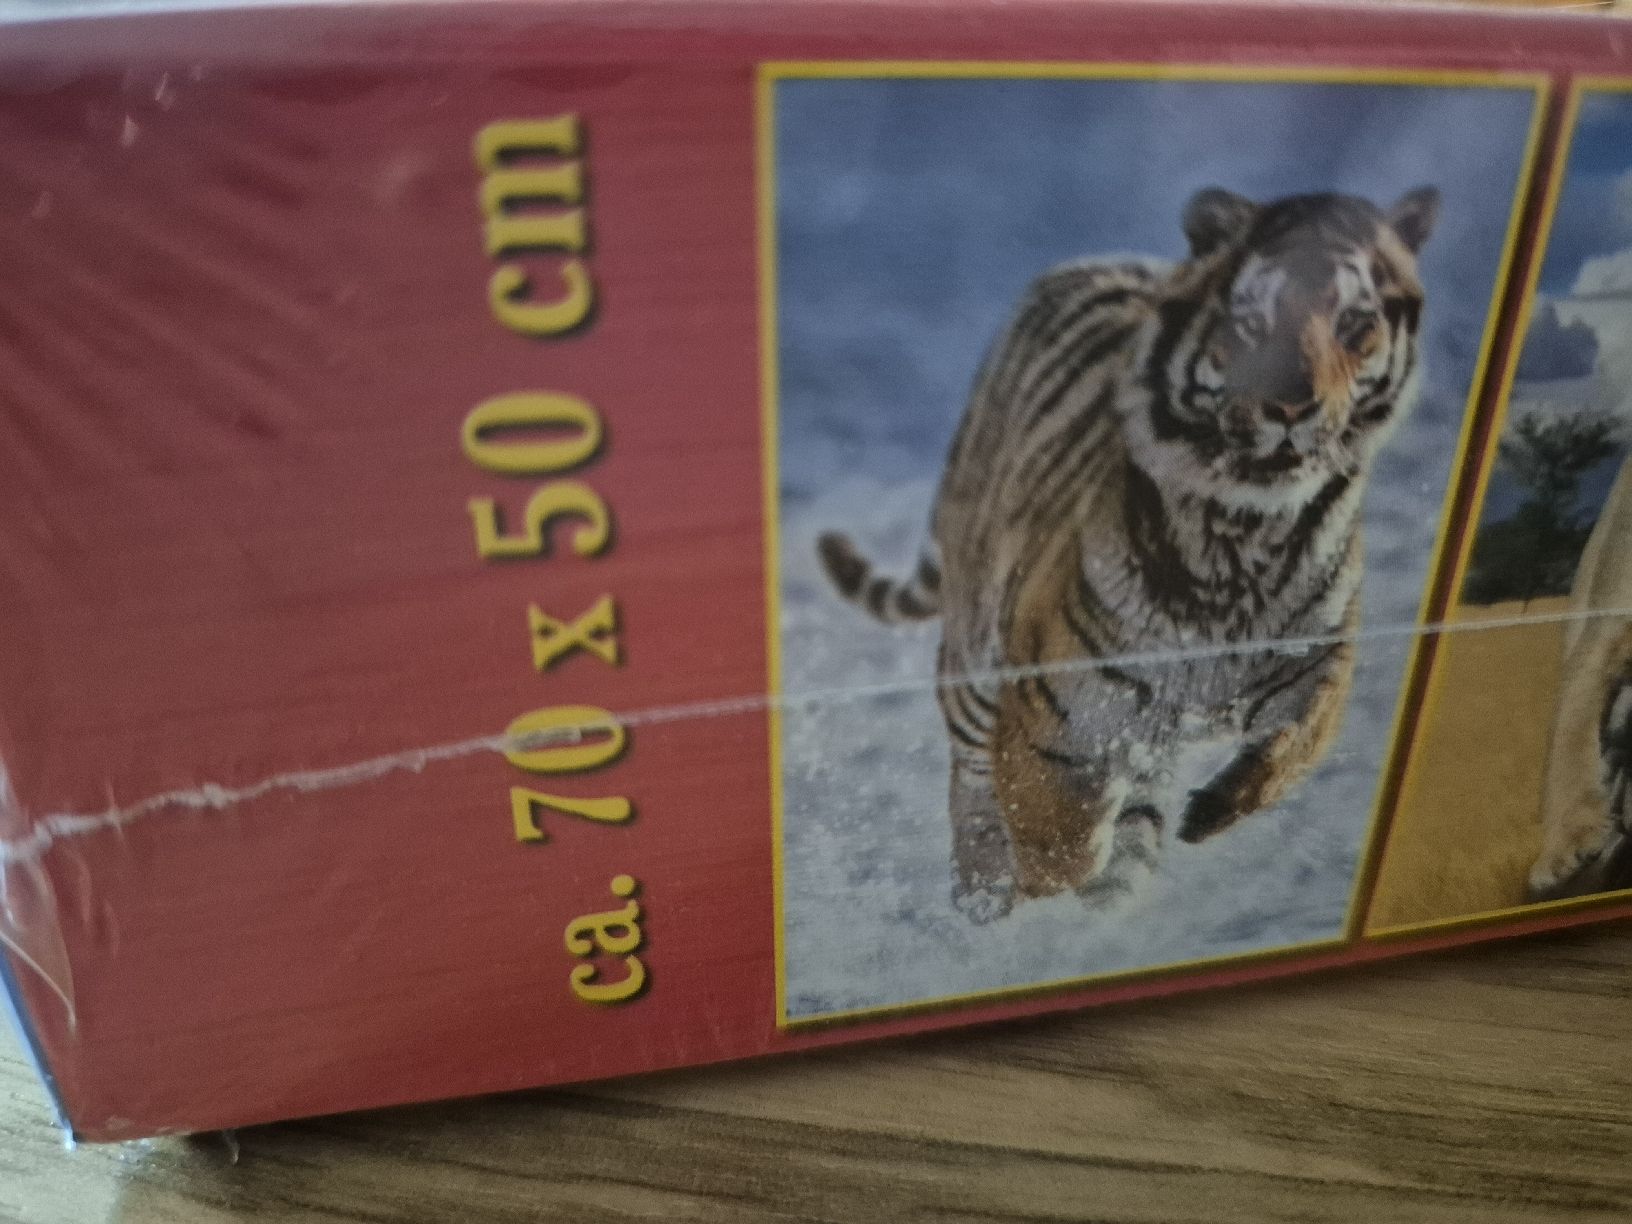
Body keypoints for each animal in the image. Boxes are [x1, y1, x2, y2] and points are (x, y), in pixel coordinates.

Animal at [818, 185, 1439, 921]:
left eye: (1354, 324)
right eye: (1251, 323)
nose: (1291, 407)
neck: (1244, 534)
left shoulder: (1318, 664)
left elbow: (1298, 745)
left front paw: (1204, 814)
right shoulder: (1050, 711)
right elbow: (1055, 839)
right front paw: (1038, 876)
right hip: (975, 655)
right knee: (970, 774)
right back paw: (984, 891)